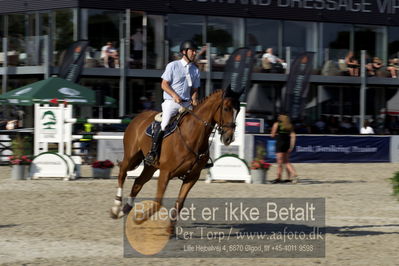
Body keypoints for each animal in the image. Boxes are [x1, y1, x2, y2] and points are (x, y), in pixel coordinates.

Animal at [110, 89, 241, 224]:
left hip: (151, 166)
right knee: (122, 173)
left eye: (238, 110)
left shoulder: (192, 177)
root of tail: (137, 117)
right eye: (226, 108)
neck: (192, 136)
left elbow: (179, 204)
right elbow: (158, 202)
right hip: (131, 156)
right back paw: (116, 207)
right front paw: (140, 219)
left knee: (138, 183)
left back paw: (125, 209)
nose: (229, 138)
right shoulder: (165, 173)